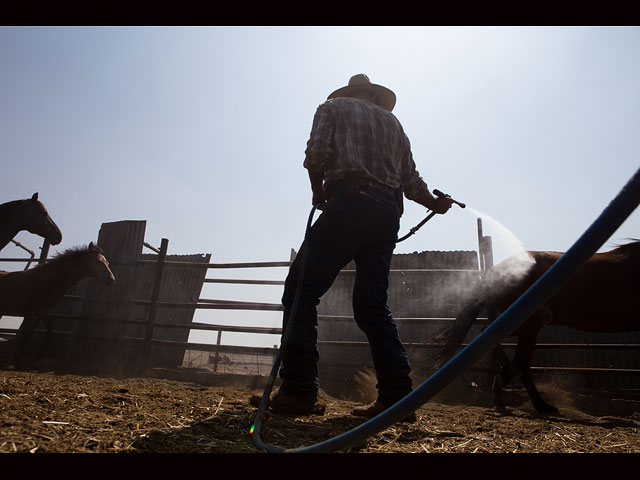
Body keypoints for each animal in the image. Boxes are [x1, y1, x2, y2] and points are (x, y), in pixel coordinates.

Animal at [436, 242, 640, 414]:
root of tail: (494, 272)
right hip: (528, 323)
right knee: (520, 362)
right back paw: (540, 405)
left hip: (519, 323)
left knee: (489, 336)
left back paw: (502, 387)